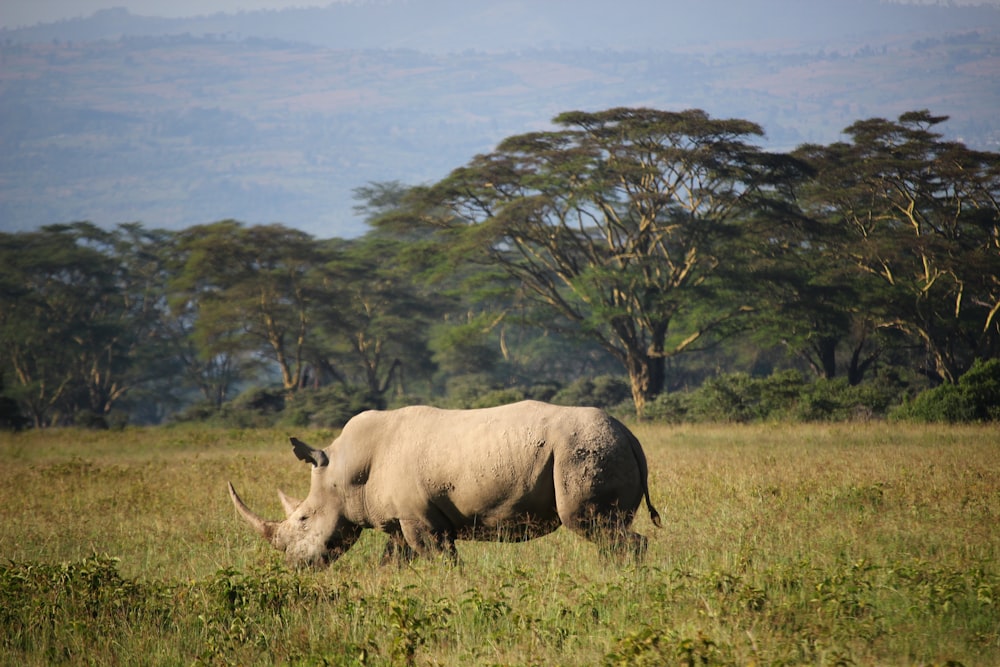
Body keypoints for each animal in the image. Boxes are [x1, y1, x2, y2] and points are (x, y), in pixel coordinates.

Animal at [229, 402, 660, 568]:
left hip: (583, 452)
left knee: (594, 525)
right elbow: (393, 561)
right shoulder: (399, 520)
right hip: (599, 448)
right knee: (606, 530)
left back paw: (618, 574)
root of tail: (631, 436)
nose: (293, 566)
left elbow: (441, 559)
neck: (345, 471)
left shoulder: (422, 520)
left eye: (303, 519)